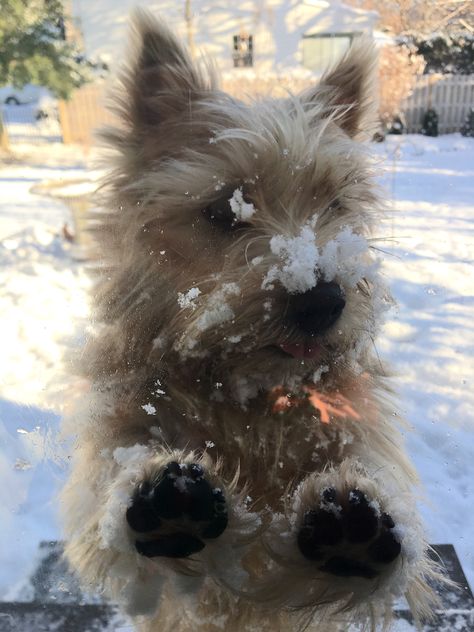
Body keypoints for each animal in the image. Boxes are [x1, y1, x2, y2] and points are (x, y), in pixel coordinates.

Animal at [61, 9, 442, 632]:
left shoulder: (356, 427)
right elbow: (114, 482)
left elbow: (370, 472)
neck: (249, 396)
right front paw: (160, 495)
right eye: (223, 209)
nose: (321, 301)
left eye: (335, 203)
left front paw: (356, 524)